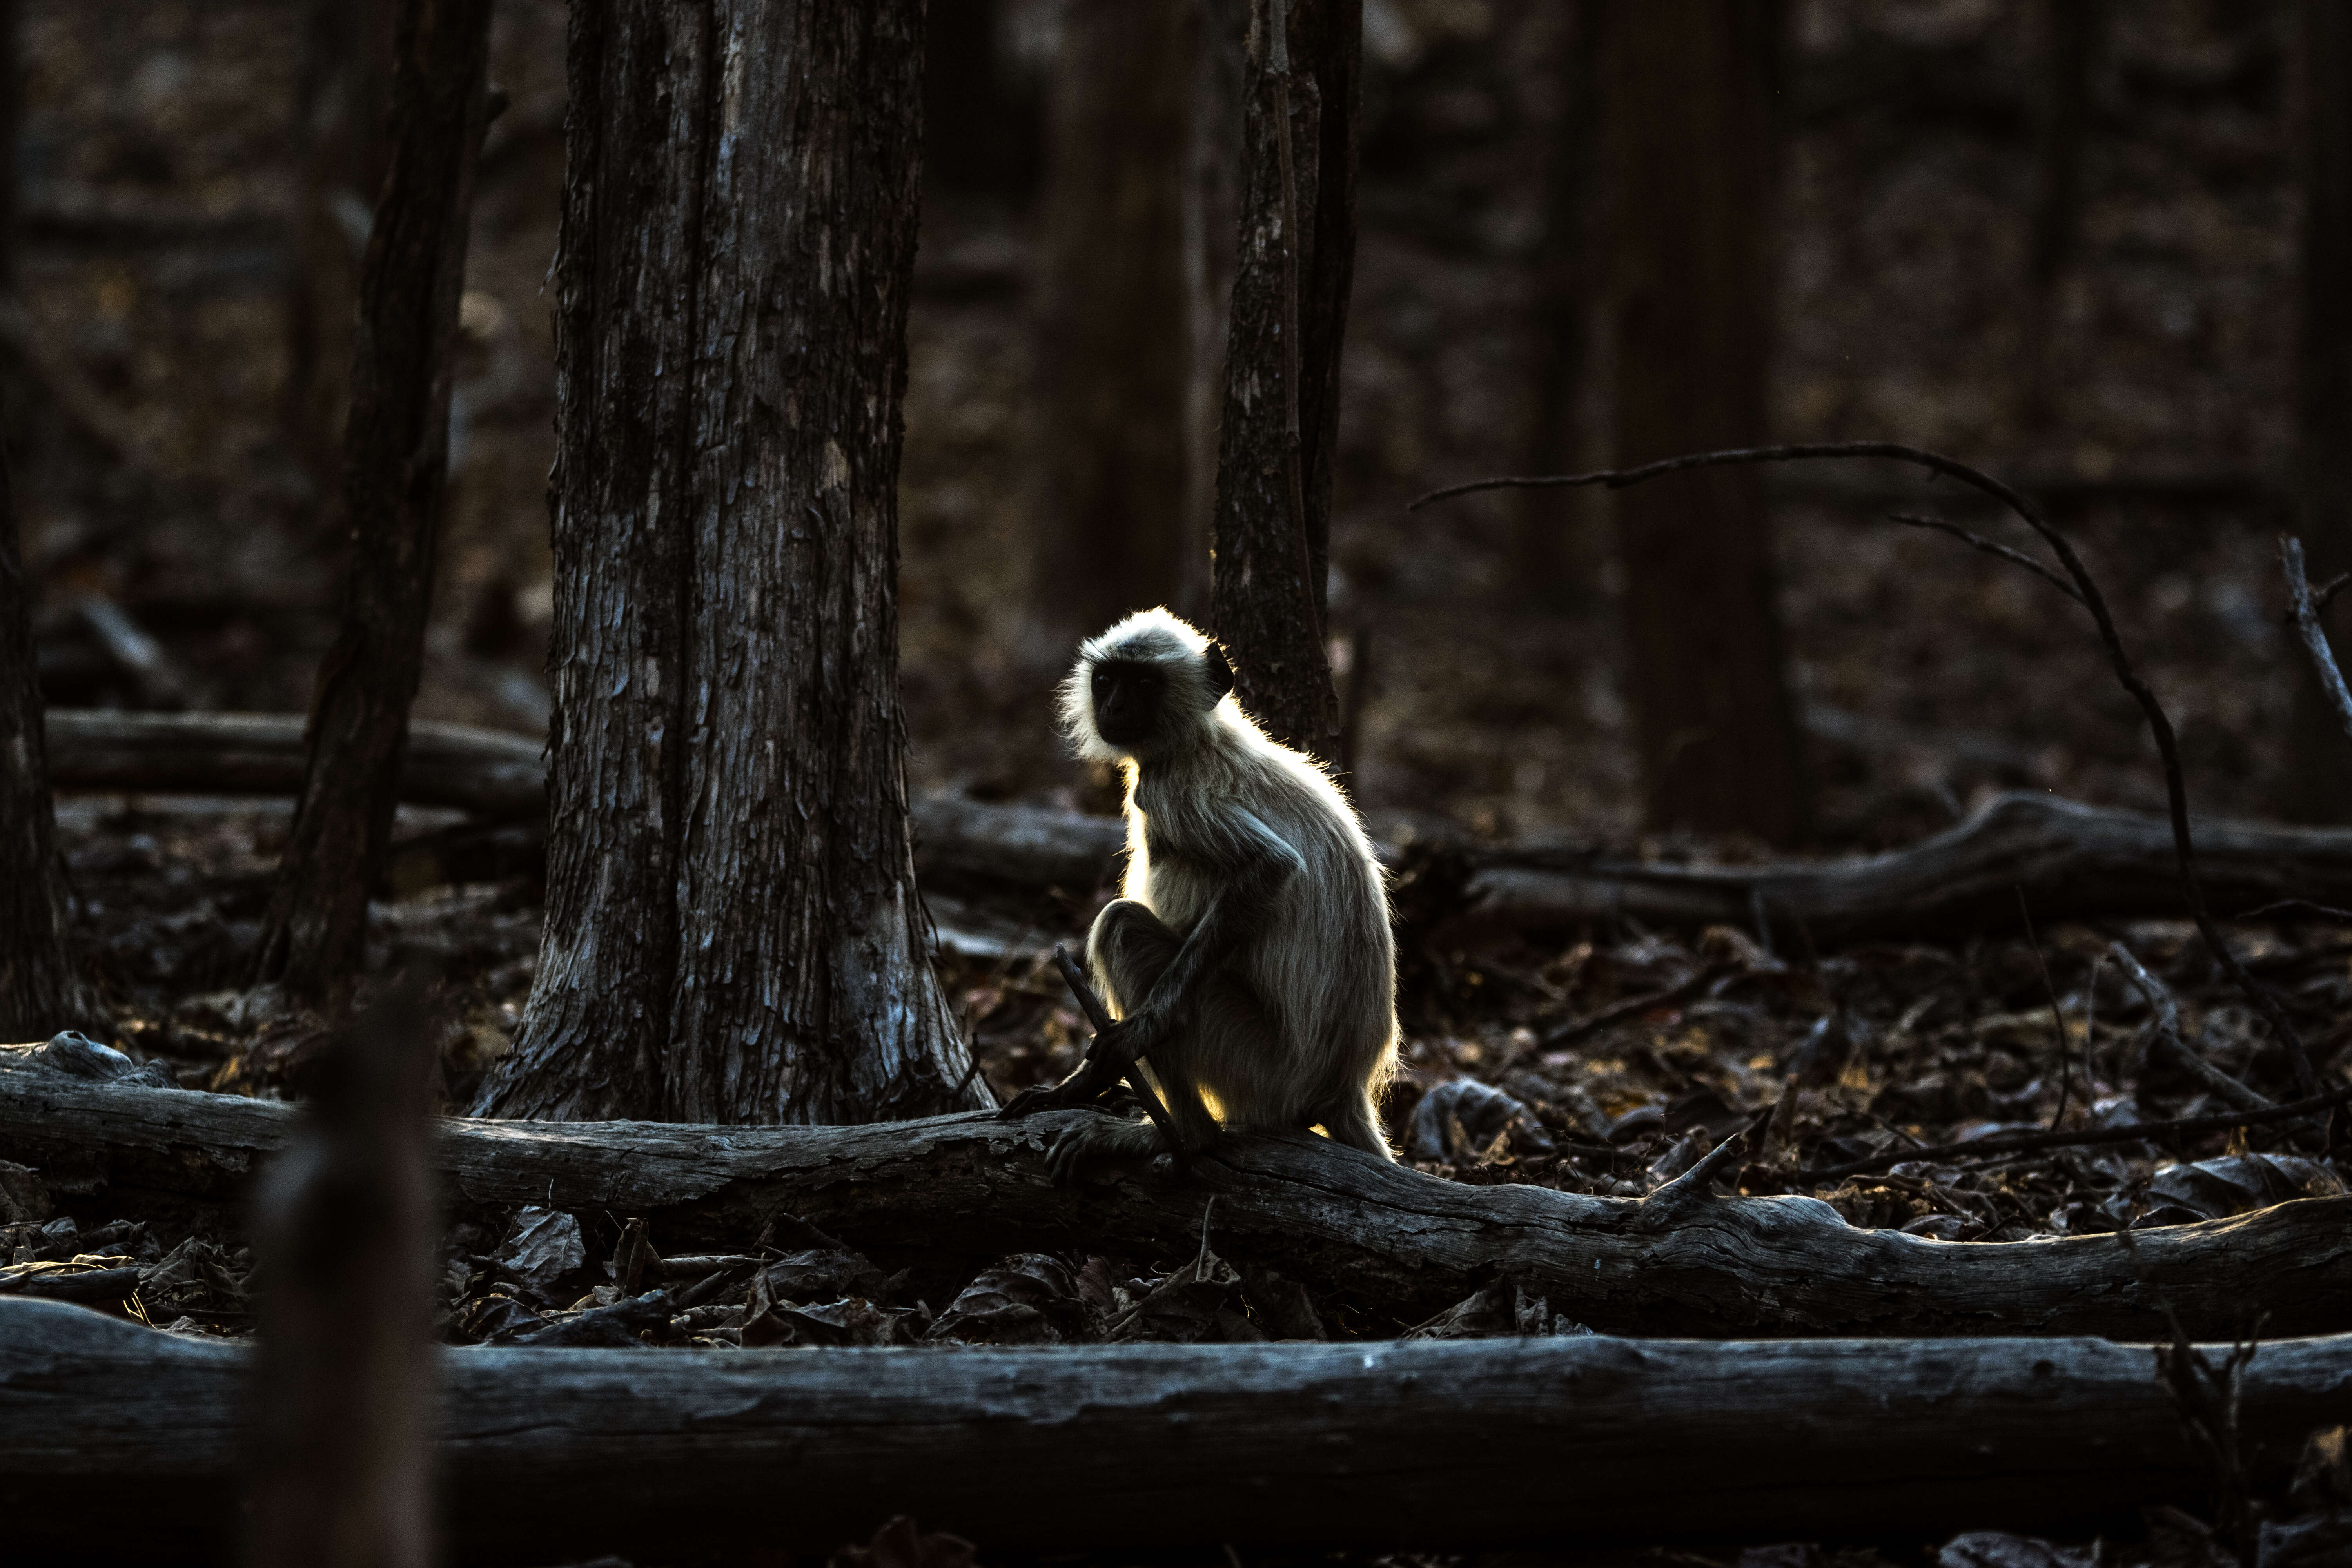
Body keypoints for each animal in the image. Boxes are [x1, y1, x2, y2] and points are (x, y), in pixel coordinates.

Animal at [1016, 606, 1383, 1185]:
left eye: (1144, 684)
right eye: (1108, 680)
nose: (1114, 707)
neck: (1198, 739)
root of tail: (1342, 1085)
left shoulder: (1174, 792)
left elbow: (1273, 866)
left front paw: (1139, 1037)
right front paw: (1079, 1083)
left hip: (1258, 1065)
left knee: (1121, 927)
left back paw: (1184, 1136)